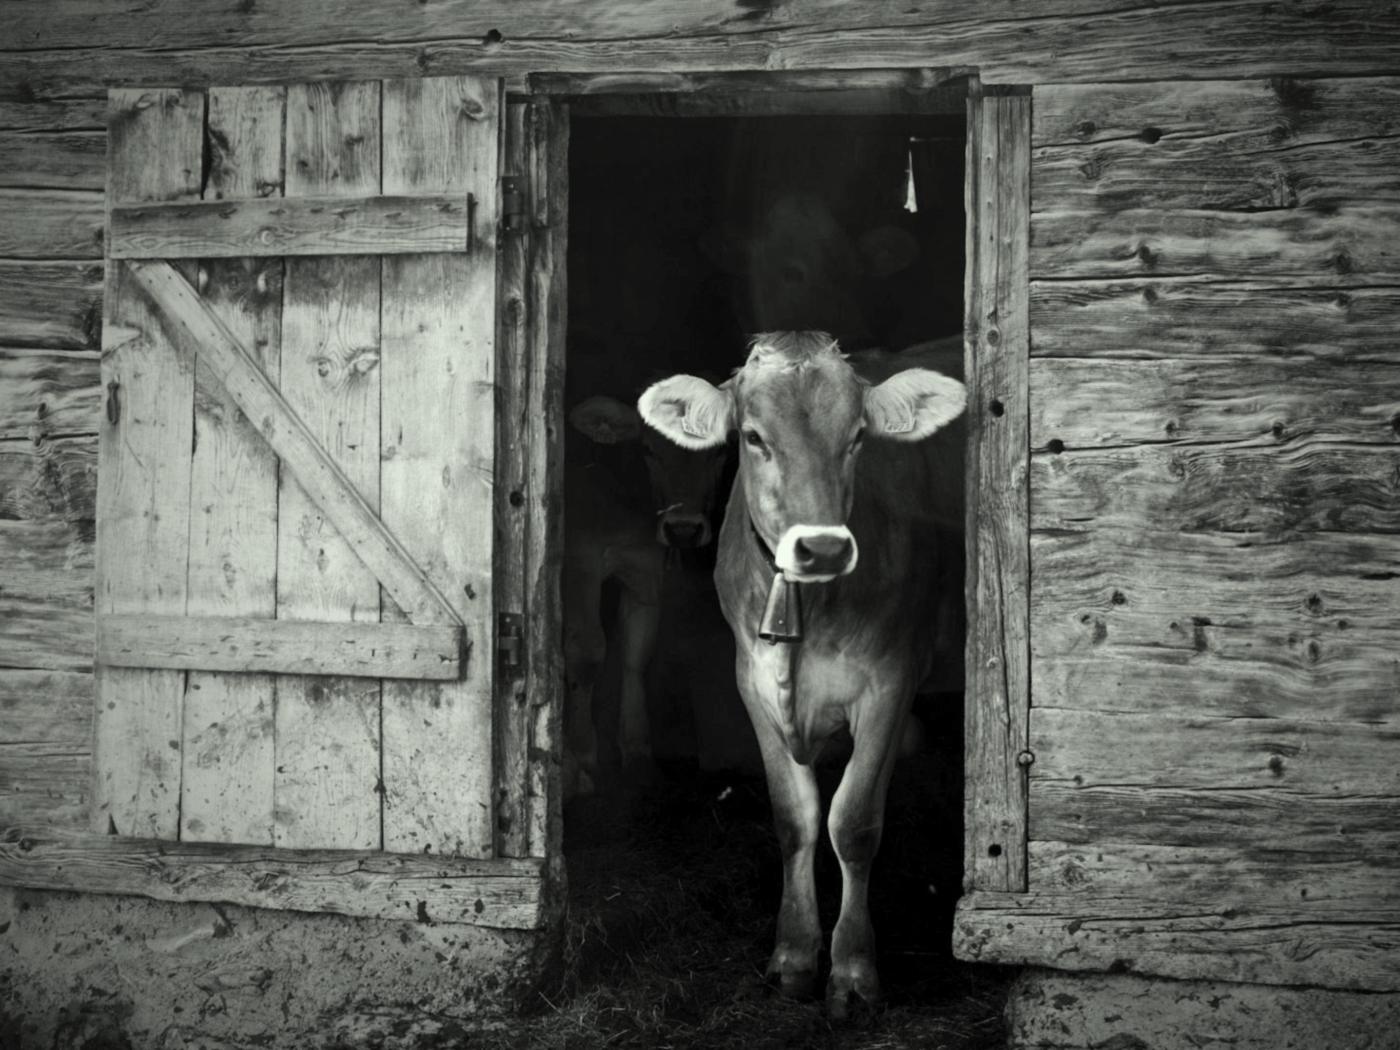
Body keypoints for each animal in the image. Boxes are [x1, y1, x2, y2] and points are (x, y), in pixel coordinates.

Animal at [563, 394, 728, 795]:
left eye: (718, 451)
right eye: (648, 449)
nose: (683, 529)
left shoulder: (645, 569)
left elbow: (637, 654)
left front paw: (638, 753)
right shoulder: (579, 560)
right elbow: (587, 651)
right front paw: (582, 756)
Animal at [638, 332, 966, 1016]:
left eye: (858, 437)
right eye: (752, 437)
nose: (823, 549)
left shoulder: (890, 682)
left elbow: (854, 821)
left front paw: (853, 969)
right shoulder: (752, 683)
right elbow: (795, 819)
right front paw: (792, 955)